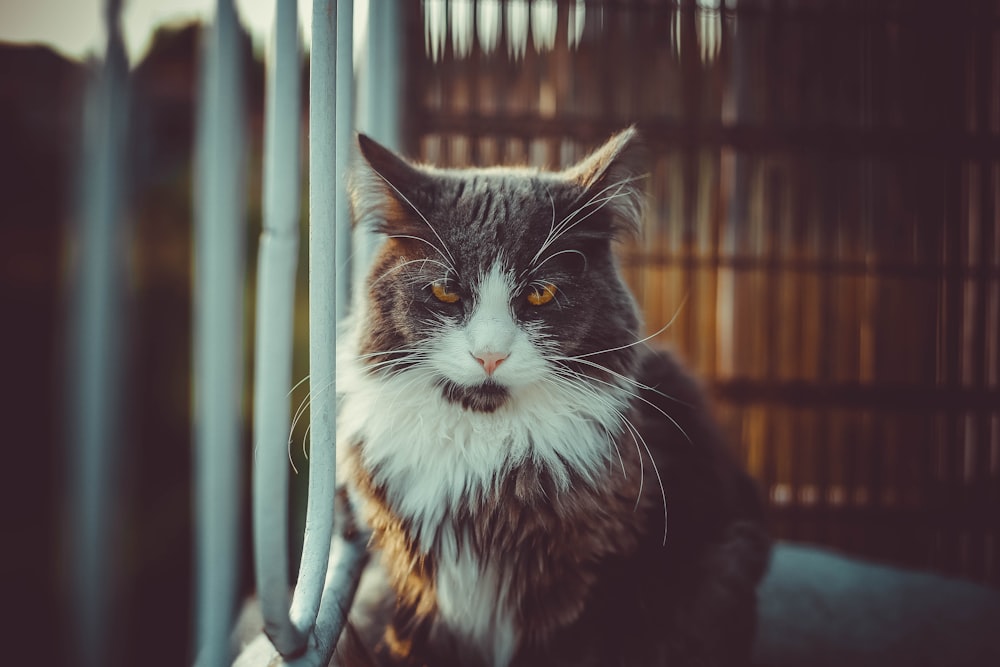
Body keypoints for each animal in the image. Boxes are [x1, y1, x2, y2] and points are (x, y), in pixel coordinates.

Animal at [332, 126, 768, 667]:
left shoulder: (595, 589)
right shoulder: (415, 588)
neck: (485, 464)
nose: (489, 356)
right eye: (446, 293)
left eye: (540, 294)